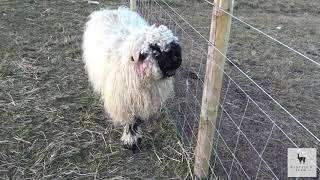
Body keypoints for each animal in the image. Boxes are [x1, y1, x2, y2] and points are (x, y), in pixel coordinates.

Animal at [82, 7, 182, 152]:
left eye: (174, 46)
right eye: (155, 49)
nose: (176, 59)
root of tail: (108, 10)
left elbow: (138, 119)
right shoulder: (125, 101)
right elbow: (131, 121)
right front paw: (131, 140)